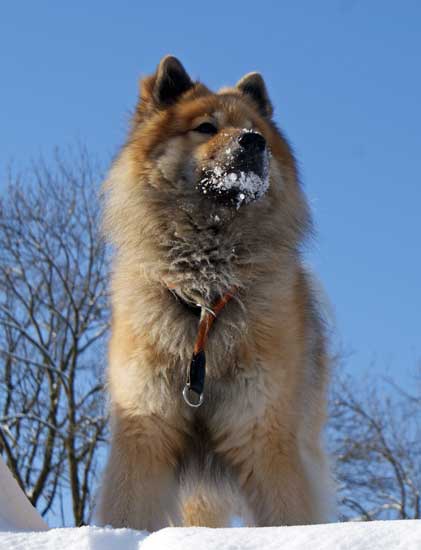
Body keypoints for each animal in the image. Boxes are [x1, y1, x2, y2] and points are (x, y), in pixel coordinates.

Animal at [97, 55, 334, 532]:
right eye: (205, 127)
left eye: (255, 129)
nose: (254, 141)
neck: (205, 291)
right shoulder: (145, 425)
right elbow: (127, 508)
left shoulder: (264, 430)